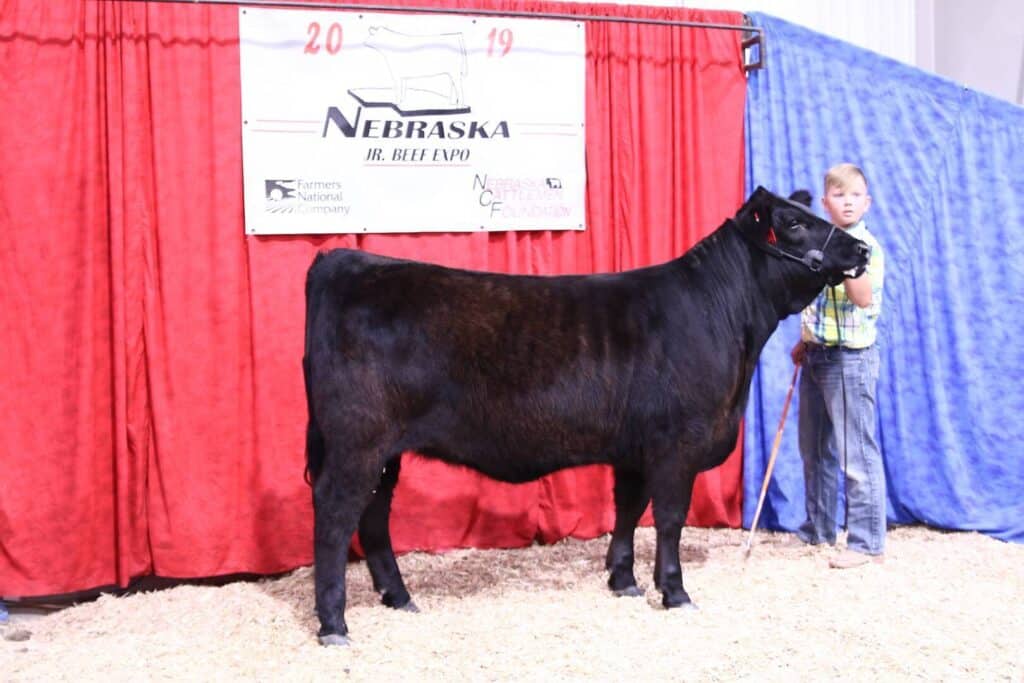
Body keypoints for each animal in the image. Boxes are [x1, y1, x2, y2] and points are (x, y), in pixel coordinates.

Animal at [303, 186, 870, 645]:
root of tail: (342, 259)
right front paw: (674, 591)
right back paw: (334, 624)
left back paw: (398, 597)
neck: (723, 319)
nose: (863, 248)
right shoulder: (677, 443)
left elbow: (628, 509)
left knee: (373, 517)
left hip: (385, 451)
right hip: (357, 442)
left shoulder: (636, 447)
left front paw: (624, 582)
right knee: (334, 516)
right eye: (794, 223)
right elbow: (669, 518)